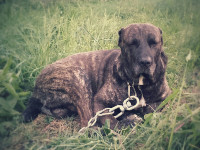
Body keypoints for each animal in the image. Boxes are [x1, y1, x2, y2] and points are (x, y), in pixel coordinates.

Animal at [23, 23, 170, 129]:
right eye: (132, 43)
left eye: (154, 42)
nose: (145, 62)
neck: (139, 84)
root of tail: (36, 88)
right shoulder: (99, 101)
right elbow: (110, 120)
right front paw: (125, 122)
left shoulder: (164, 98)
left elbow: (151, 109)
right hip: (79, 79)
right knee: (87, 123)